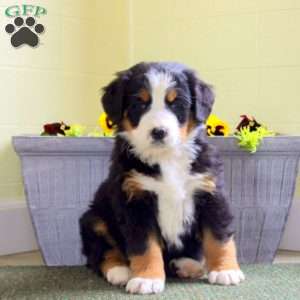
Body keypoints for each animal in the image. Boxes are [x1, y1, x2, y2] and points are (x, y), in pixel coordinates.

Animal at [79, 62, 244, 294]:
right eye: (140, 104)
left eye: (176, 104)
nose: (159, 132)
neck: (167, 158)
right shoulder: (135, 201)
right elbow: (145, 246)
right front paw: (146, 278)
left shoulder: (210, 193)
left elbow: (219, 237)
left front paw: (224, 270)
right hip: (94, 219)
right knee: (101, 253)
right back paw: (120, 270)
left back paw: (188, 265)